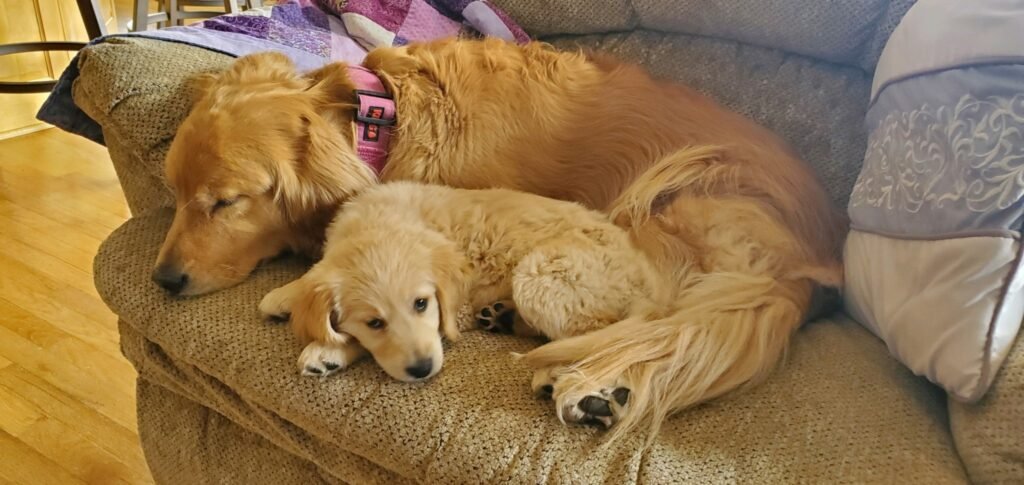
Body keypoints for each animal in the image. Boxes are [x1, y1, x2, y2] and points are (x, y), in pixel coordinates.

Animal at [260, 180, 667, 421]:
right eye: (374, 322)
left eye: (421, 304)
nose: (422, 369)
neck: (385, 223)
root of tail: (650, 279)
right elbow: (317, 277)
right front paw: (285, 296)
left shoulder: (456, 313)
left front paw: (326, 350)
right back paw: (503, 317)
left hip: (541, 275)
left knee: (607, 340)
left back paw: (561, 379)